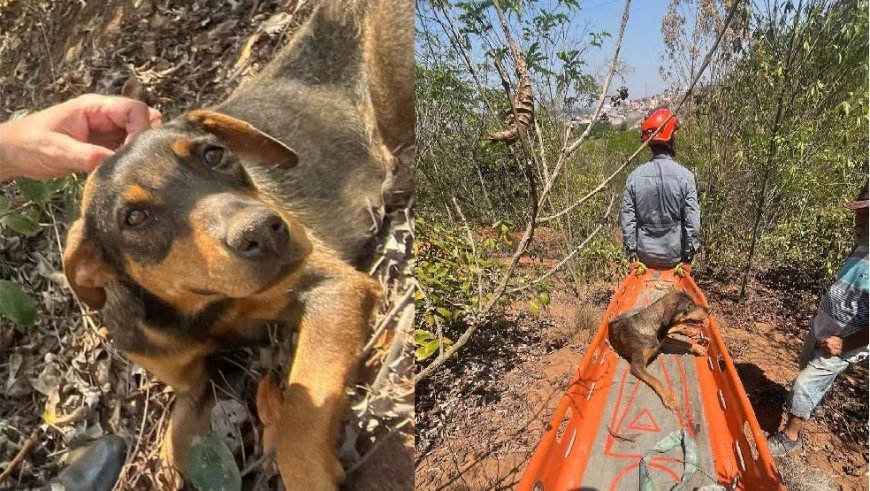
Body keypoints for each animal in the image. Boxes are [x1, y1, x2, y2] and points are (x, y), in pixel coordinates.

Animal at [62, 0, 416, 488]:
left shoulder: (335, 287)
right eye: (134, 218)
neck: (204, 308)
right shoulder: (195, 383)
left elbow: (300, 413)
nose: (265, 231)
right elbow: (170, 449)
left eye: (214, 154)